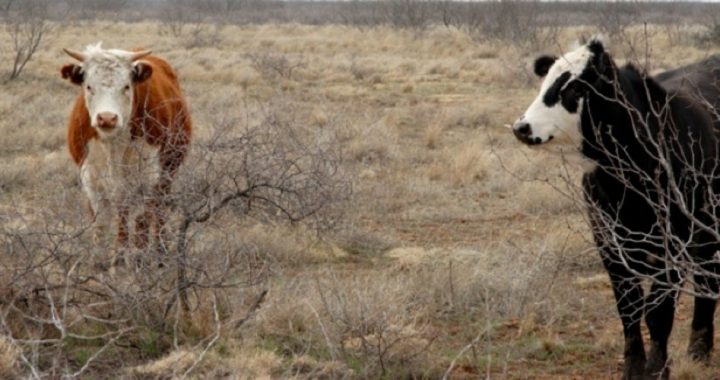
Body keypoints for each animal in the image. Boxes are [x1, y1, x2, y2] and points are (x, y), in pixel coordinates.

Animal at [60, 42, 193, 262]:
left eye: (126, 86)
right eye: (89, 86)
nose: (107, 118)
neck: (114, 144)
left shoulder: (147, 178)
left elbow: (140, 219)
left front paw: (129, 257)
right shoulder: (91, 179)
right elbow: (102, 222)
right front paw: (101, 261)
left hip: (167, 173)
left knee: (157, 212)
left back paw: (161, 250)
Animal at [516, 39, 720, 380]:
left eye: (574, 89)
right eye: (545, 83)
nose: (522, 127)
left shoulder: (674, 244)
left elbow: (658, 313)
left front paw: (657, 369)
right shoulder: (608, 243)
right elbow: (629, 309)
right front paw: (634, 368)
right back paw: (699, 351)